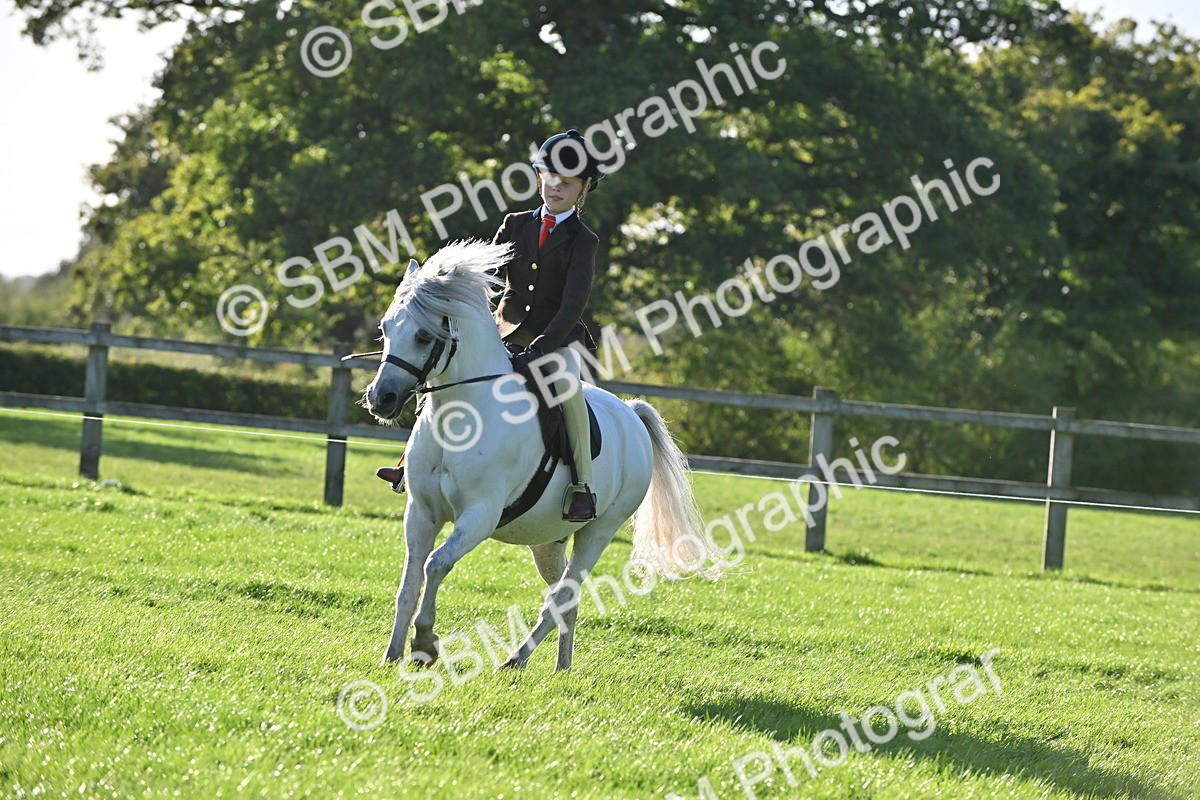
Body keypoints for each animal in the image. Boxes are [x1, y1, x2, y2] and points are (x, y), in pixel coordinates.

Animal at [362, 239, 713, 672]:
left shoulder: (479, 515)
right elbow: (409, 583)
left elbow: (436, 564)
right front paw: (392, 653)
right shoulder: (421, 513)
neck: (460, 416)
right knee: (564, 596)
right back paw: (560, 666)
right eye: (385, 328)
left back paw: (516, 659)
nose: (381, 399)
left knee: (564, 594)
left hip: (598, 532)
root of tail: (631, 413)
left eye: (425, 336)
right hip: (548, 540)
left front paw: (425, 643)